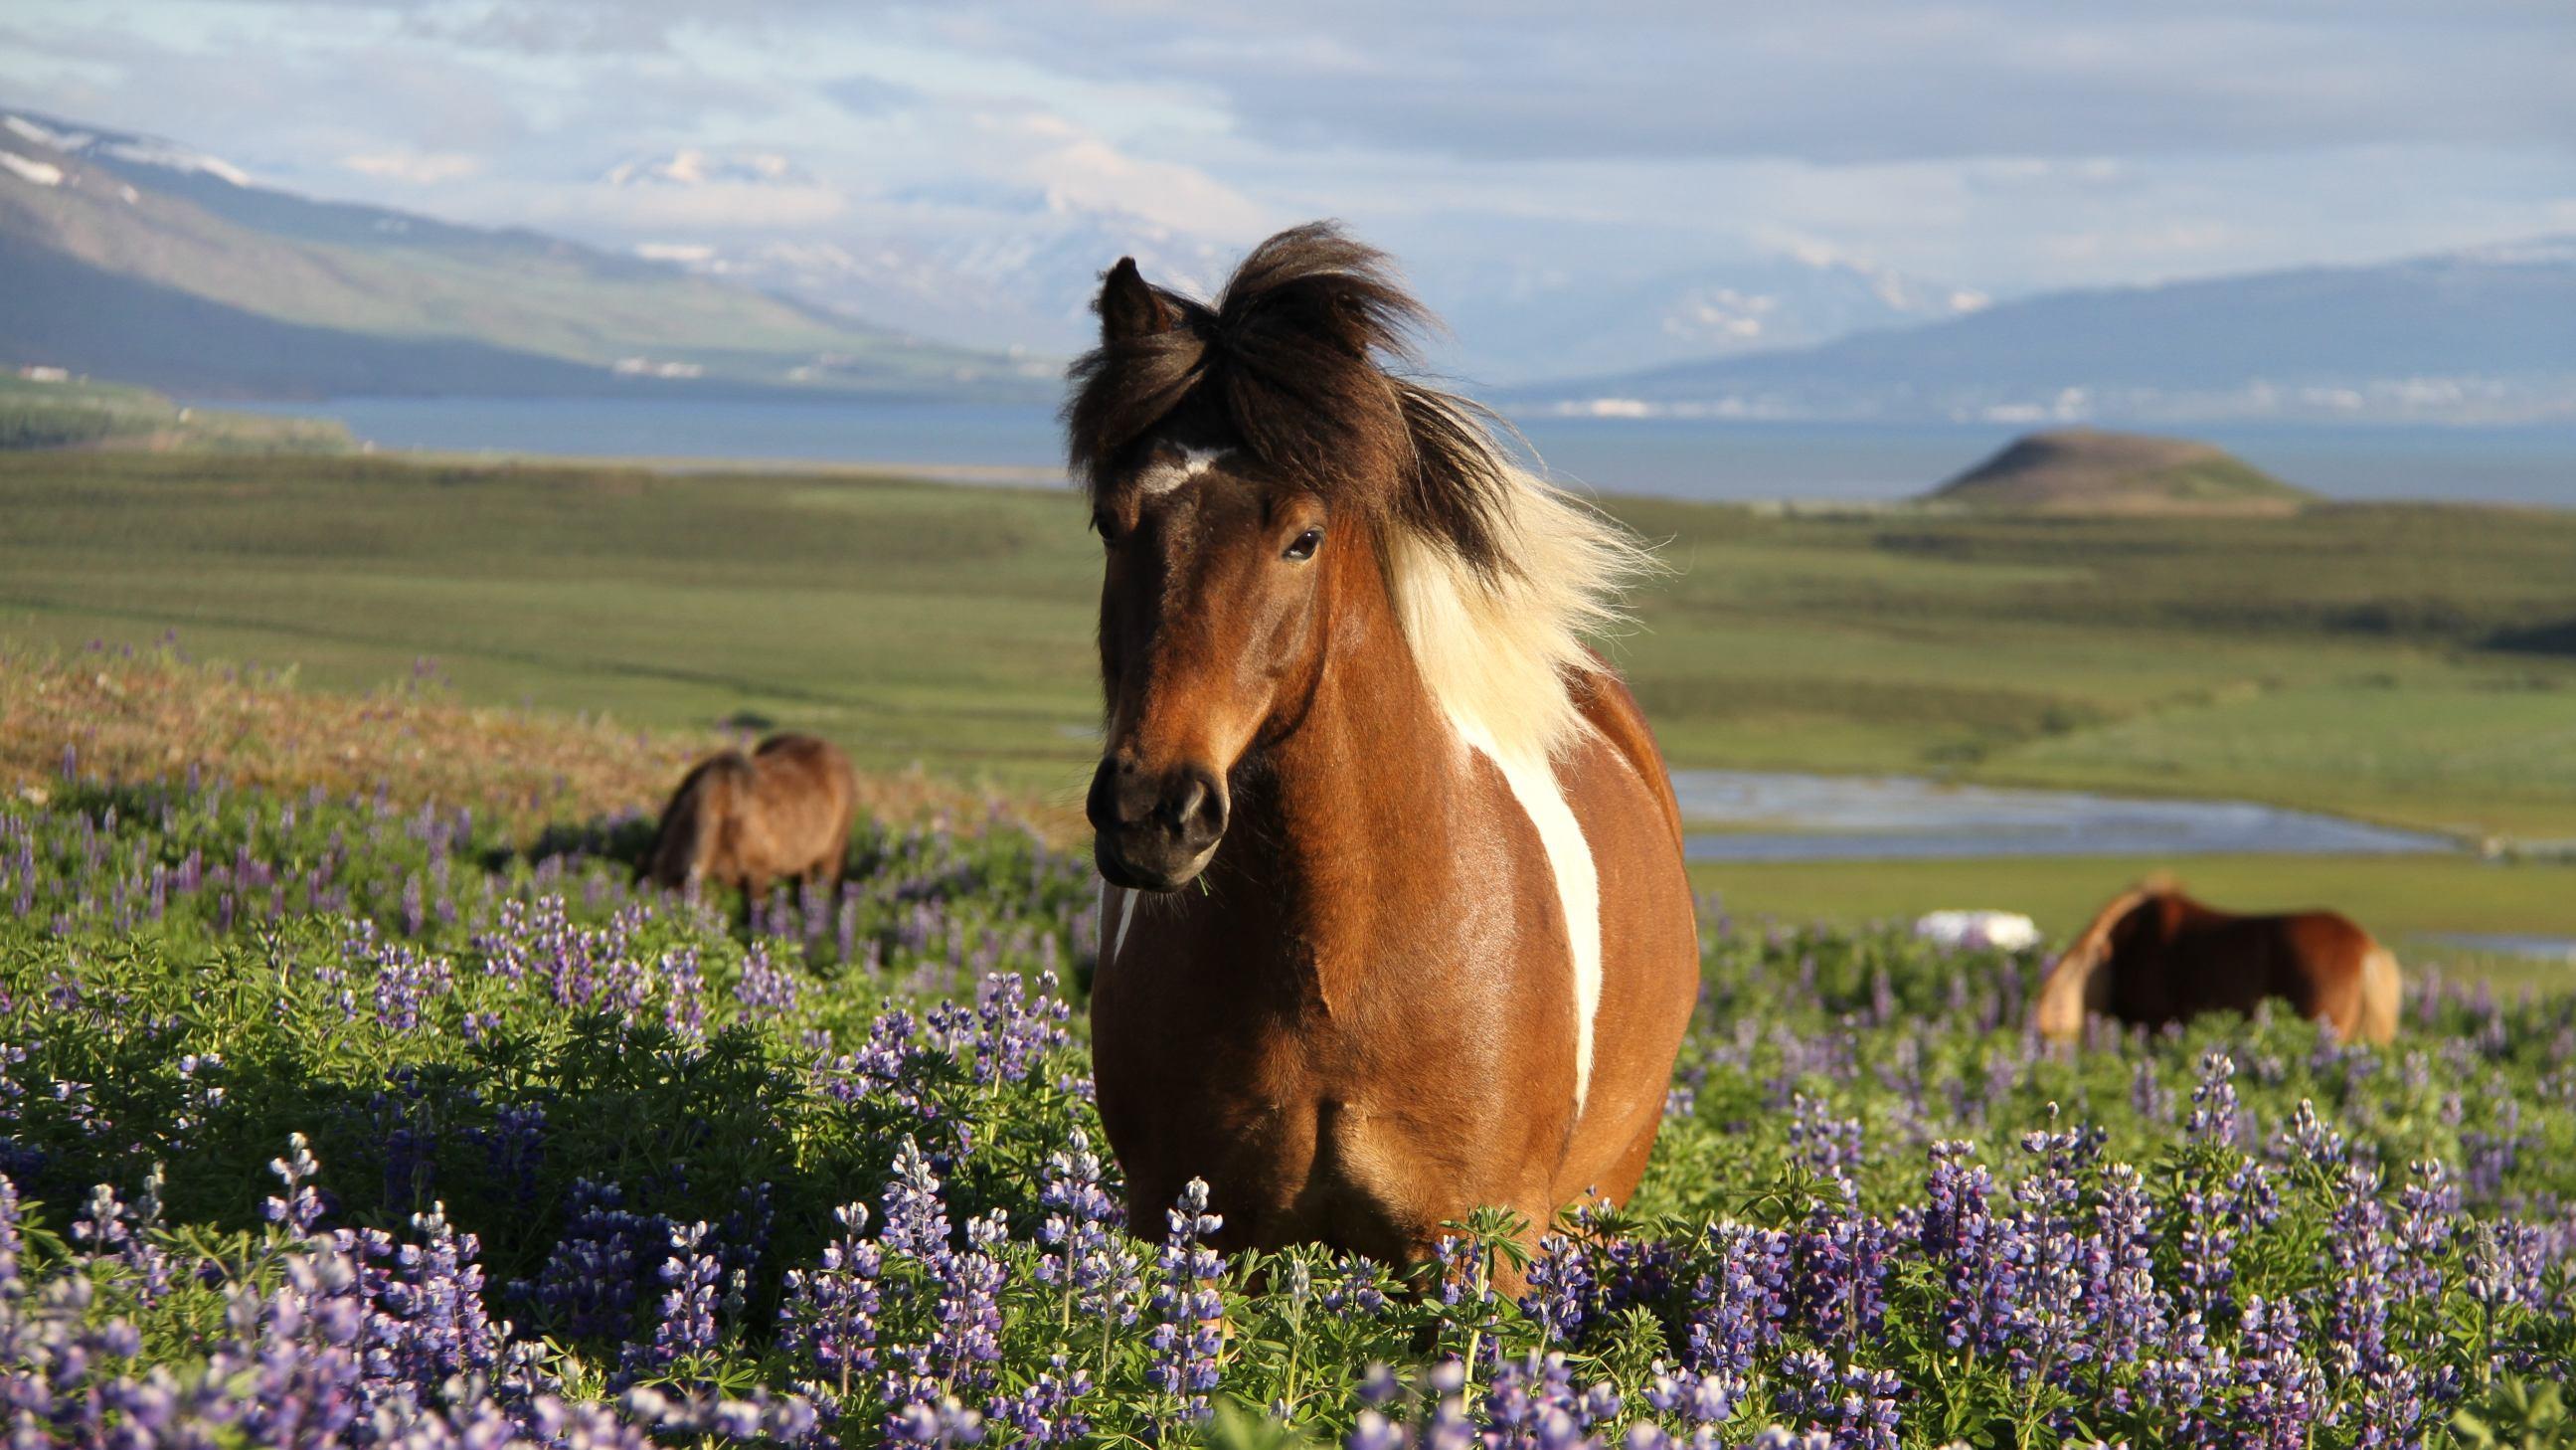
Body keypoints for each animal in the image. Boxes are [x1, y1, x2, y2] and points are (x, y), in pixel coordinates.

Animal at [1056, 221, 1700, 1277]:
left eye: (1303, 538)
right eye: (1111, 525)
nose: (1152, 813)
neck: (1334, 960)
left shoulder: (1482, 1242)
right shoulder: (1187, 1221)